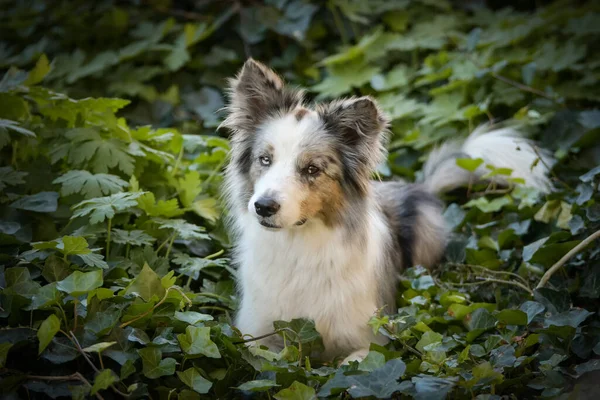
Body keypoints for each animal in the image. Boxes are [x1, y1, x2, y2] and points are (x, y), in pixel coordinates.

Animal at [220, 58, 552, 362]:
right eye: (265, 160)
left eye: (312, 169)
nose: (263, 207)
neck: (297, 247)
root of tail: (419, 187)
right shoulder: (255, 335)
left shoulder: (371, 340)